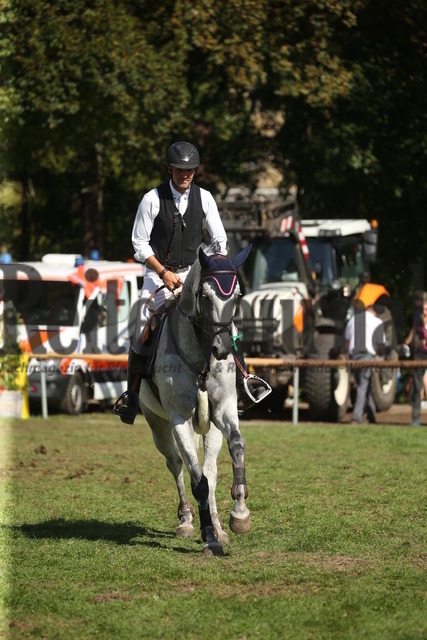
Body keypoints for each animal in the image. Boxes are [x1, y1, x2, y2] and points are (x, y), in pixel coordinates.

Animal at [138, 245, 252, 556]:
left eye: (237, 296)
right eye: (205, 295)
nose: (222, 349)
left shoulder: (223, 410)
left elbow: (236, 447)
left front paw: (238, 515)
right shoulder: (179, 420)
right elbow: (196, 480)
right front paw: (209, 537)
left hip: (210, 427)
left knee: (210, 470)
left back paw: (218, 524)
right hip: (157, 424)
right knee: (177, 465)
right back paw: (187, 521)